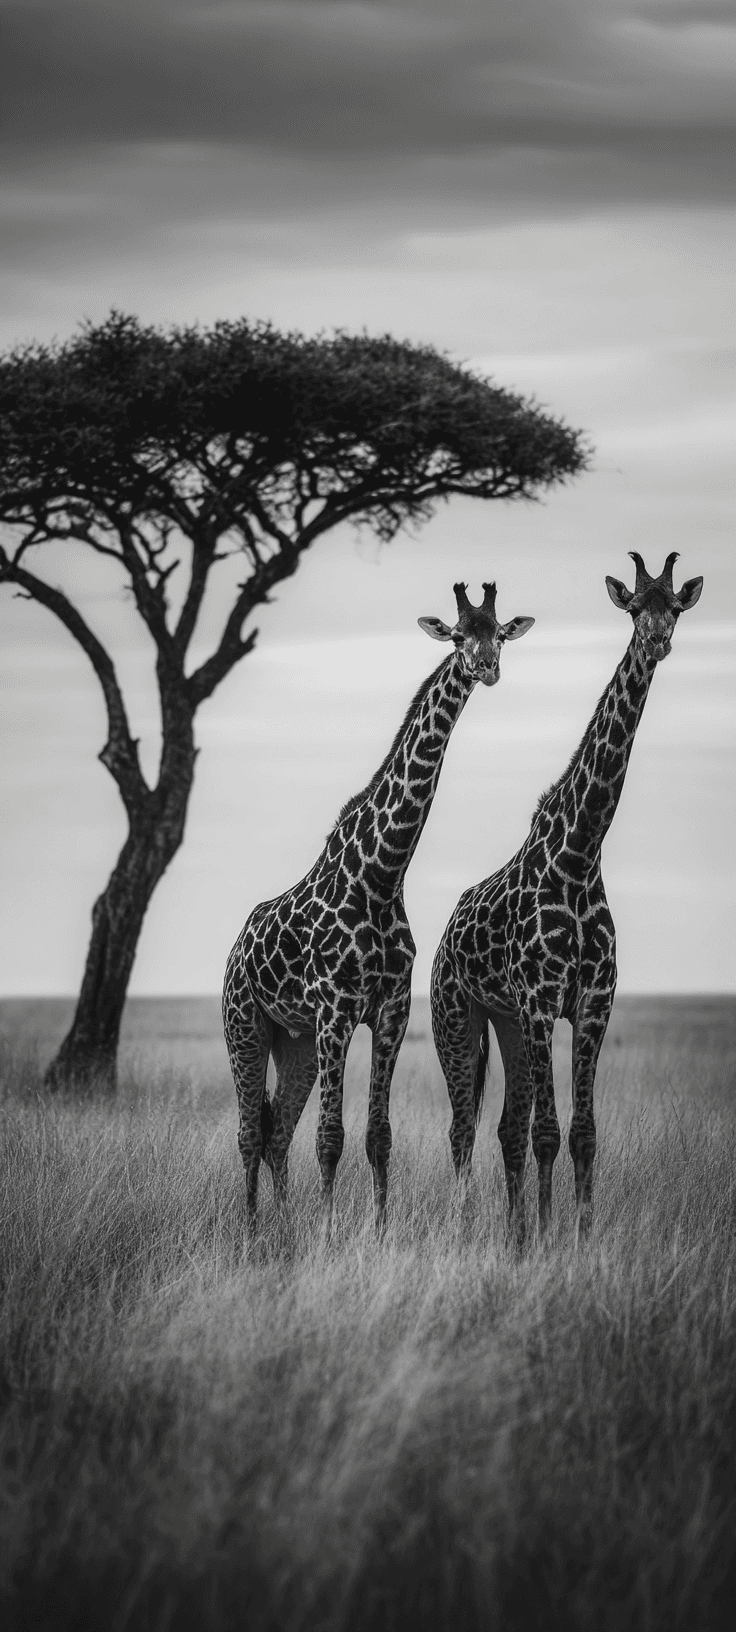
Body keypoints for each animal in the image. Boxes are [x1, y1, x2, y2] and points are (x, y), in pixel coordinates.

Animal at [223, 581, 535, 1239]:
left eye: (498, 632)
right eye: (458, 635)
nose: (487, 667)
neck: (384, 877)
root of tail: (235, 948)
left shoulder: (389, 1011)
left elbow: (378, 1135)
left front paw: (379, 1228)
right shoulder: (335, 1012)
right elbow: (331, 1136)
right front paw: (330, 1232)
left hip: (292, 1040)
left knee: (275, 1131)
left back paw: (282, 1228)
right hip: (245, 1025)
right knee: (249, 1132)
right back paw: (255, 1230)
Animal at [430, 553, 703, 1244]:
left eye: (674, 607)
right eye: (633, 608)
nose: (657, 641)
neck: (580, 856)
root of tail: (444, 935)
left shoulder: (592, 1003)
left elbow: (582, 1133)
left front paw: (573, 1237)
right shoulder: (539, 1000)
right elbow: (548, 1133)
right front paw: (547, 1240)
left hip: (503, 1021)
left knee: (504, 1127)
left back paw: (513, 1230)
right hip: (457, 1015)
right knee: (463, 1126)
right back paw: (471, 1228)